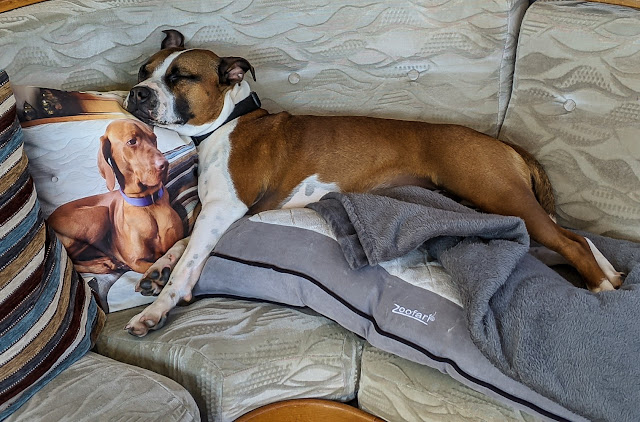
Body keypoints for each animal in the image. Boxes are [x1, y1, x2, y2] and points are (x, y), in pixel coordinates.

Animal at [122, 30, 624, 336]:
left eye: (180, 77)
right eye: (144, 70)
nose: (137, 93)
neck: (228, 122)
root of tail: (502, 142)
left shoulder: (225, 209)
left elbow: (190, 261)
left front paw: (158, 308)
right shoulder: (210, 213)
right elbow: (182, 243)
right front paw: (158, 268)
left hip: (500, 196)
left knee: (570, 241)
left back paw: (602, 288)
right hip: (495, 205)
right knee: (573, 236)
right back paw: (612, 275)